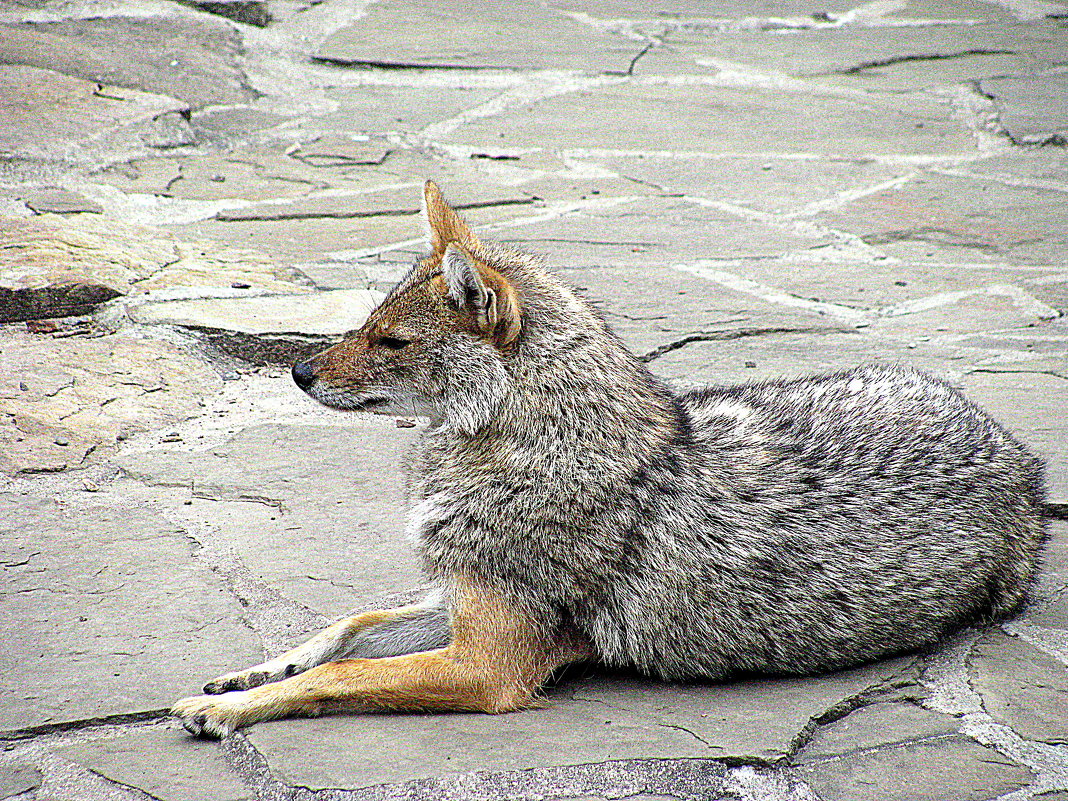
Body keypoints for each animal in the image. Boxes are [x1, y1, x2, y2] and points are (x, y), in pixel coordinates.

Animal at [170, 180, 1046, 739]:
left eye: (391, 342)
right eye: (364, 324)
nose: (297, 370)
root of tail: (1020, 458)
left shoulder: (491, 661)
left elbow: (342, 673)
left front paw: (232, 709)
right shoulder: (458, 598)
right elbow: (347, 627)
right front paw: (254, 673)